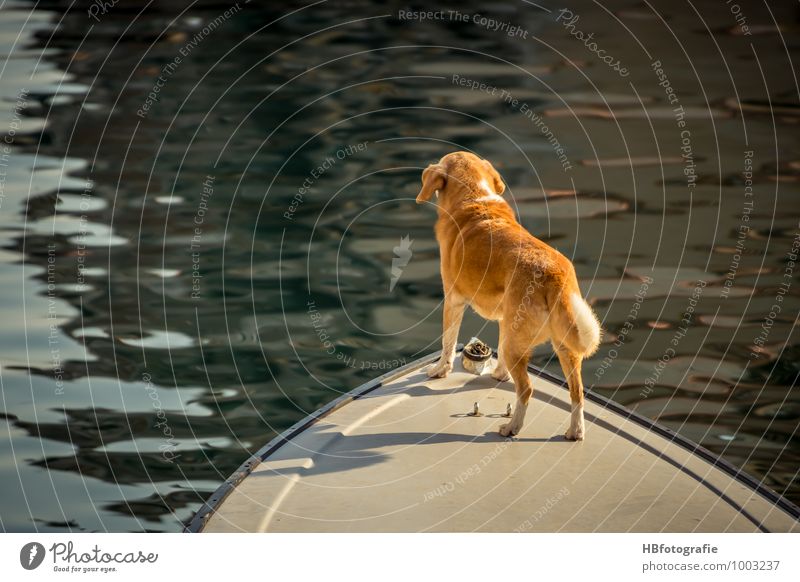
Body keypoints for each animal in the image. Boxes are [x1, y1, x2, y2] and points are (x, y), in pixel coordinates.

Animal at [418, 153, 600, 440]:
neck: (475, 196)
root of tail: (554, 275)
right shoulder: (506, 319)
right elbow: (500, 353)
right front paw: (500, 375)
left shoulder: (453, 300)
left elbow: (448, 342)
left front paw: (439, 371)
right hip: (566, 345)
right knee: (577, 392)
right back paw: (575, 431)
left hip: (523, 346)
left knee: (526, 390)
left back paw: (512, 427)